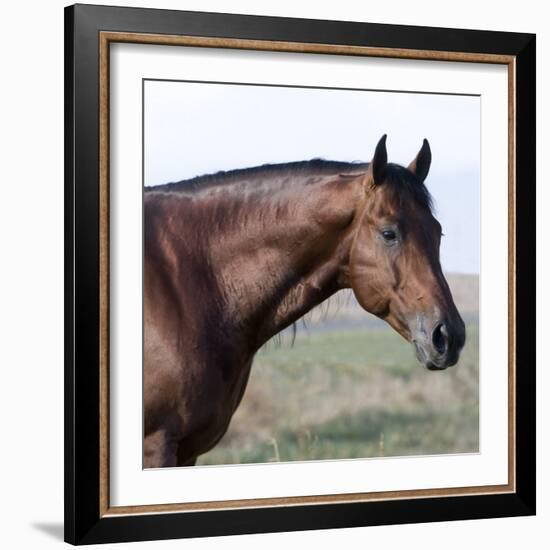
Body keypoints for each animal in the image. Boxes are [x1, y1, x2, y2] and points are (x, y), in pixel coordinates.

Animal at [142, 136, 466, 468]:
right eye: (389, 233)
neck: (190, 280)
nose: (449, 335)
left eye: (438, 232)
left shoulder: (188, 451)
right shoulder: (157, 444)